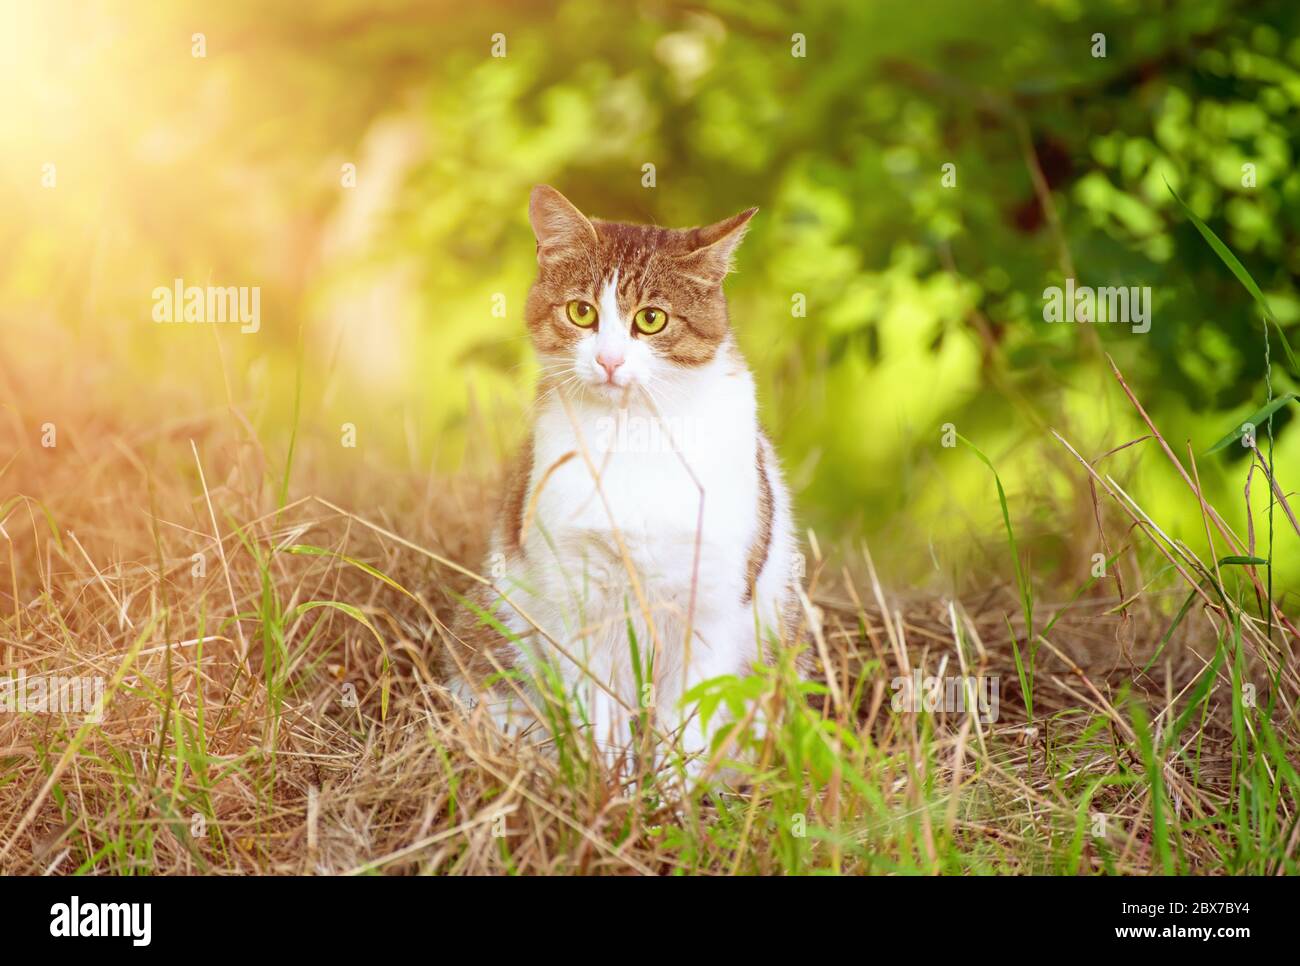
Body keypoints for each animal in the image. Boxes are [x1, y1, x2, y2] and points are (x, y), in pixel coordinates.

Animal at [441, 187, 795, 780]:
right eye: (581, 312)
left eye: (651, 319)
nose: (608, 359)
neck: (634, 436)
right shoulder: (576, 598)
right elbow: (598, 713)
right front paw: (606, 785)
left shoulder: (712, 604)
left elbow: (686, 724)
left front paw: (671, 798)